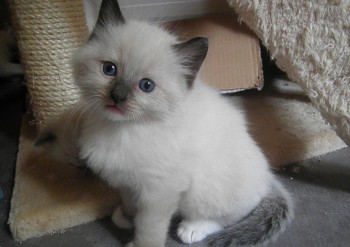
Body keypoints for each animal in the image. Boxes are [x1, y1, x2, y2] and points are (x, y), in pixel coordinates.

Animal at [37, 0, 292, 246]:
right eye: (109, 69)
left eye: (146, 86)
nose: (117, 96)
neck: (121, 129)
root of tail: (268, 175)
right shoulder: (126, 181)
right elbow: (130, 204)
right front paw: (126, 218)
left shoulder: (159, 191)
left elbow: (148, 227)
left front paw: (138, 243)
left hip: (202, 191)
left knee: (229, 215)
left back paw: (192, 229)